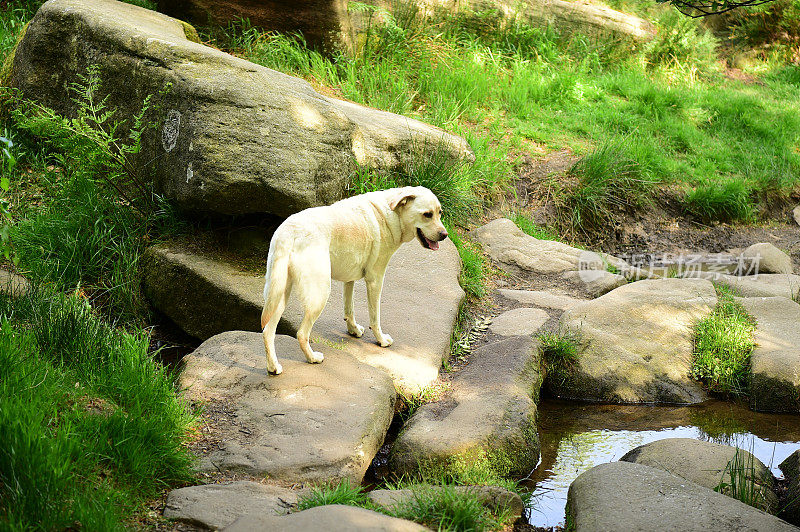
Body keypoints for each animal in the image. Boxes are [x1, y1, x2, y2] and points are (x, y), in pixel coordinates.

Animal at [262, 187, 450, 374]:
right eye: (427, 214)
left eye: (440, 213)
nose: (445, 235)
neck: (392, 213)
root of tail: (288, 232)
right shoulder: (375, 280)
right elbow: (375, 318)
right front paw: (381, 340)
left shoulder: (349, 279)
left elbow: (349, 309)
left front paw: (353, 330)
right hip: (319, 295)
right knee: (301, 333)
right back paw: (313, 358)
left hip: (279, 295)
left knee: (267, 331)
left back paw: (273, 367)